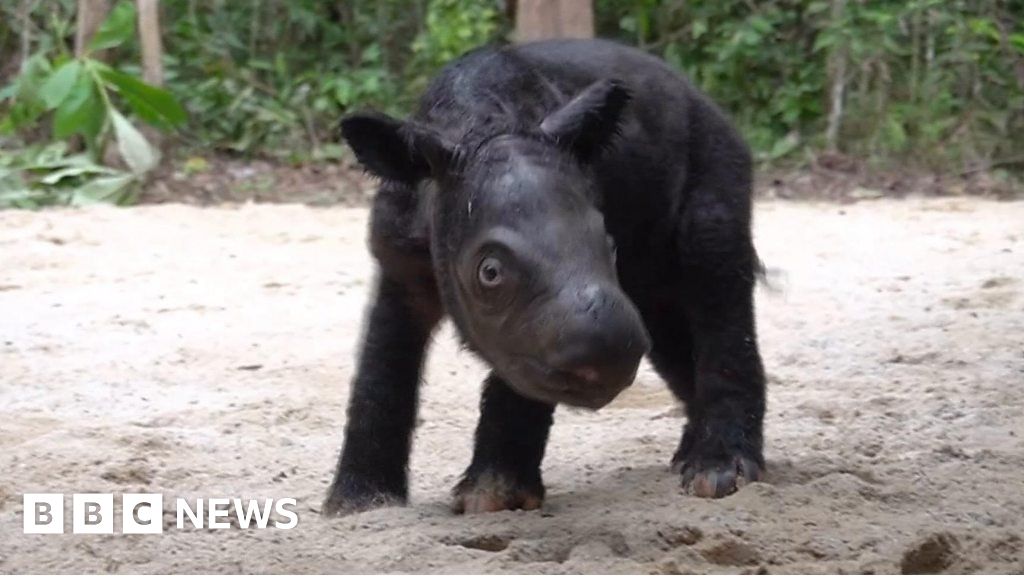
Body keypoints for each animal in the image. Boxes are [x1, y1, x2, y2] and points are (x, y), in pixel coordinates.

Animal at [323, 36, 765, 510]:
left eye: (609, 245)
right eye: (490, 272)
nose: (608, 361)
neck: (479, 123)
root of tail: (704, 99)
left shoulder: (533, 326)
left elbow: (521, 369)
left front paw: (492, 499)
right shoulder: (398, 259)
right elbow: (381, 365)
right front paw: (358, 505)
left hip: (714, 152)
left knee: (713, 269)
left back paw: (717, 474)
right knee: (664, 321)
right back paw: (688, 459)